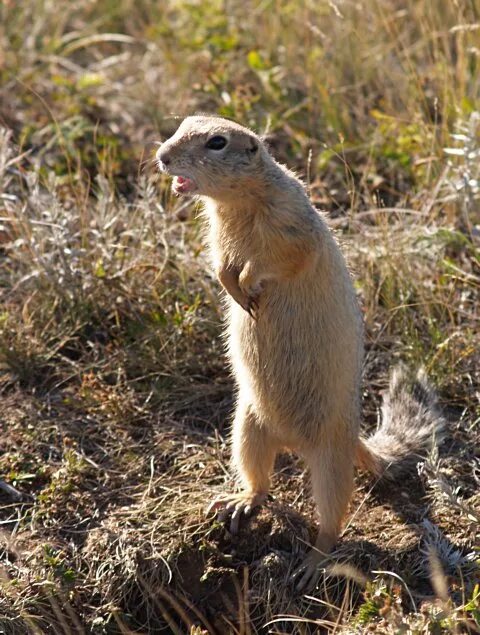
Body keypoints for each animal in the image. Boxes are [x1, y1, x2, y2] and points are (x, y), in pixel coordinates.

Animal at [158, 115, 446, 592]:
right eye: (180, 125)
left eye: (217, 142)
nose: (162, 156)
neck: (239, 205)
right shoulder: (218, 236)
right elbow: (220, 266)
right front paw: (235, 291)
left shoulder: (291, 227)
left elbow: (279, 260)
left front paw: (250, 287)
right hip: (247, 428)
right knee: (261, 482)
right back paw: (240, 502)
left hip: (330, 461)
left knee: (332, 521)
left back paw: (312, 564)